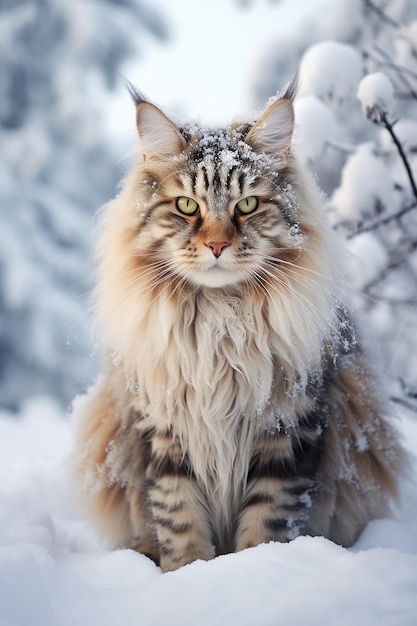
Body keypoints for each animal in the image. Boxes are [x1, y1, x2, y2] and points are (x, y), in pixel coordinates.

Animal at [71, 79, 404, 572]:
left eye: (246, 204)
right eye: (187, 206)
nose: (216, 245)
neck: (219, 325)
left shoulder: (288, 428)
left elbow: (268, 522)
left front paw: (252, 570)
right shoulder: (164, 430)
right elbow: (179, 520)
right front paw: (188, 574)